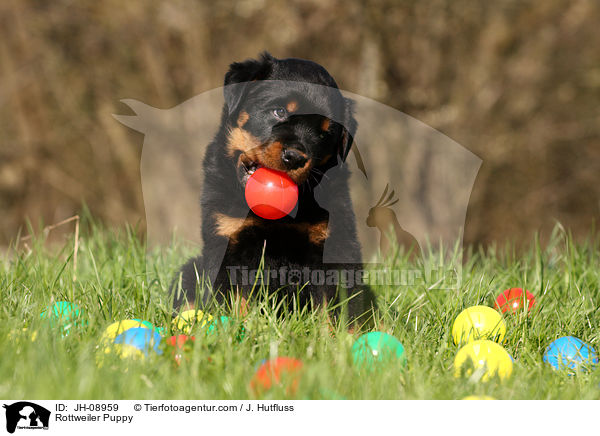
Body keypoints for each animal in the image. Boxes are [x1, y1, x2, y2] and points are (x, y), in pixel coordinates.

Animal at [170, 52, 376, 328]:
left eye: (324, 134)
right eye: (279, 111)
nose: (295, 157)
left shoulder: (336, 245)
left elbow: (337, 308)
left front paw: (339, 337)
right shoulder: (228, 242)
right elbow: (234, 300)